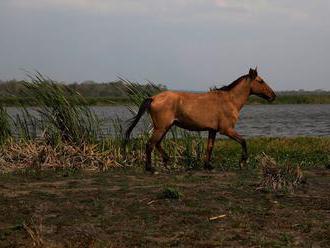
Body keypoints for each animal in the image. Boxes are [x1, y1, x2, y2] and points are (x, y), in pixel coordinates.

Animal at [125, 68, 278, 172]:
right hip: (161, 127)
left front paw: (208, 165)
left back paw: (166, 160)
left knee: (156, 144)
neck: (230, 100)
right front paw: (242, 161)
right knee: (150, 144)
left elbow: (210, 147)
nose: (273, 96)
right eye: (260, 81)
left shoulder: (213, 130)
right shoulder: (227, 130)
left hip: (165, 127)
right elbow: (243, 141)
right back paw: (150, 168)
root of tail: (153, 98)